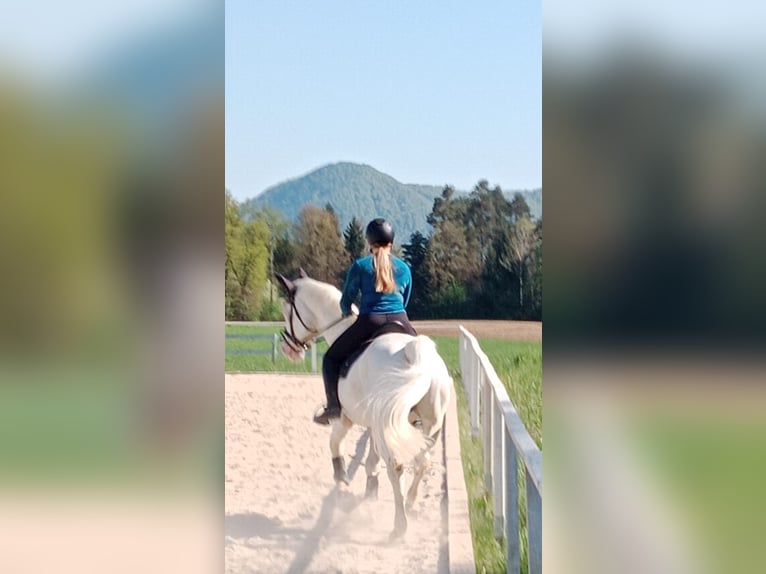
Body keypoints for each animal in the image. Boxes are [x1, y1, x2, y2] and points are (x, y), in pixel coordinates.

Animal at [276, 272, 452, 544]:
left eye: (287, 311)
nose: (288, 348)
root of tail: (417, 356)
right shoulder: (374, 427)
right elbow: (371, 461)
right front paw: (370, 493)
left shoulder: (344, 419)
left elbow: (335, 446)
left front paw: (342, 483)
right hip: (428, 425)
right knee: (421, 462)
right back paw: (409, 505)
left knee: (397, 467)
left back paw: (399, 527)